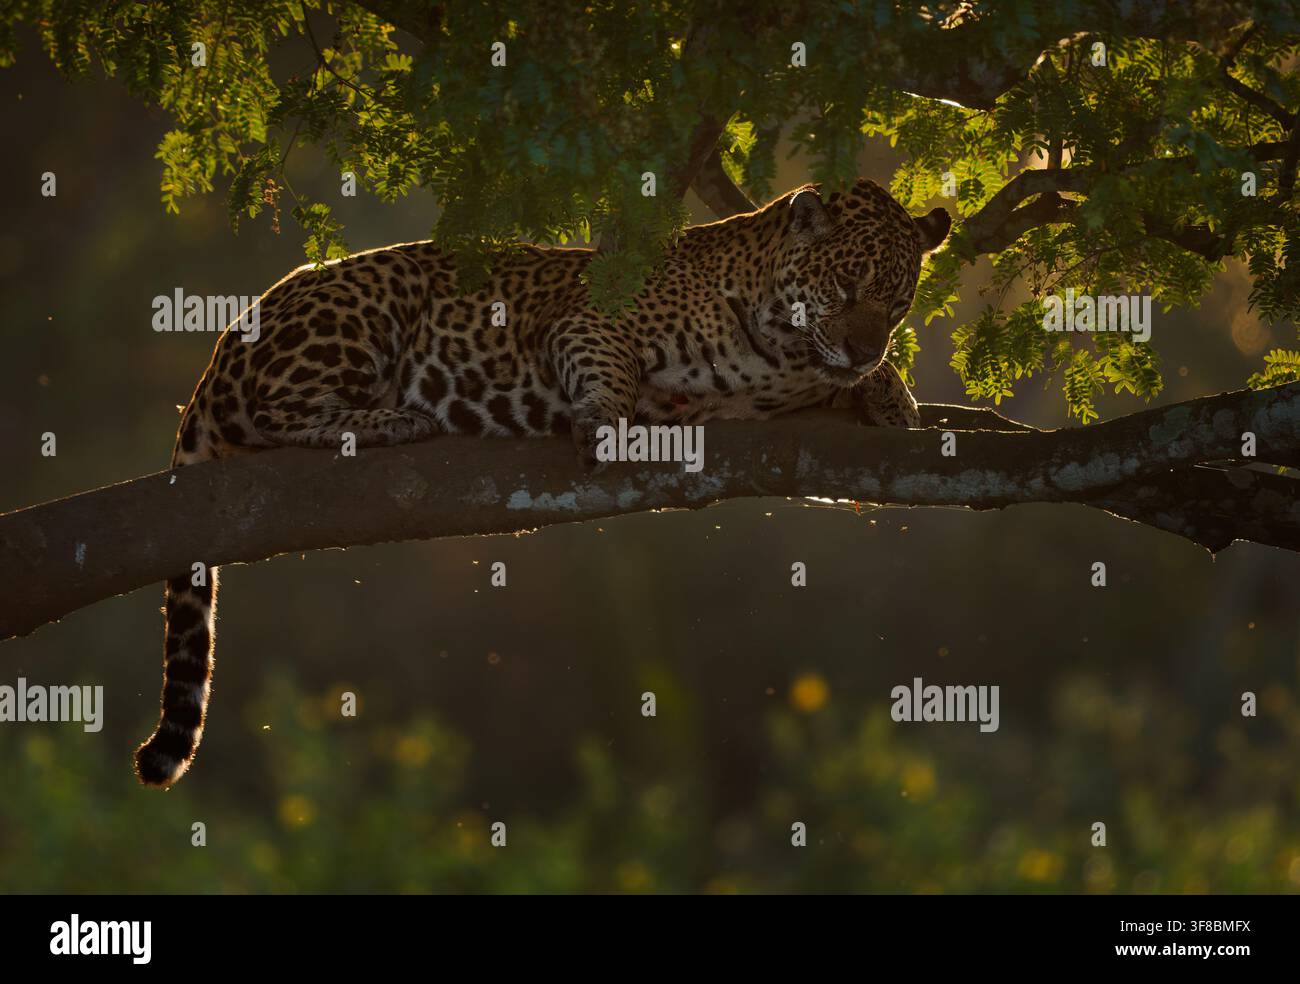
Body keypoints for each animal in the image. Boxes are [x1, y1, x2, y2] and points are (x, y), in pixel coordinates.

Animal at [134, 176, 951, 786]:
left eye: (899, 299)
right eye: (845, 284)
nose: (862, 345)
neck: (784, 350)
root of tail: (223, 343)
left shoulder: (792, 417)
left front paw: (894, 395)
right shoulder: (590, 321)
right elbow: (610, 368)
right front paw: (603, 421)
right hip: (356, 309)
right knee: (276, 408)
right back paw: (392, 420)